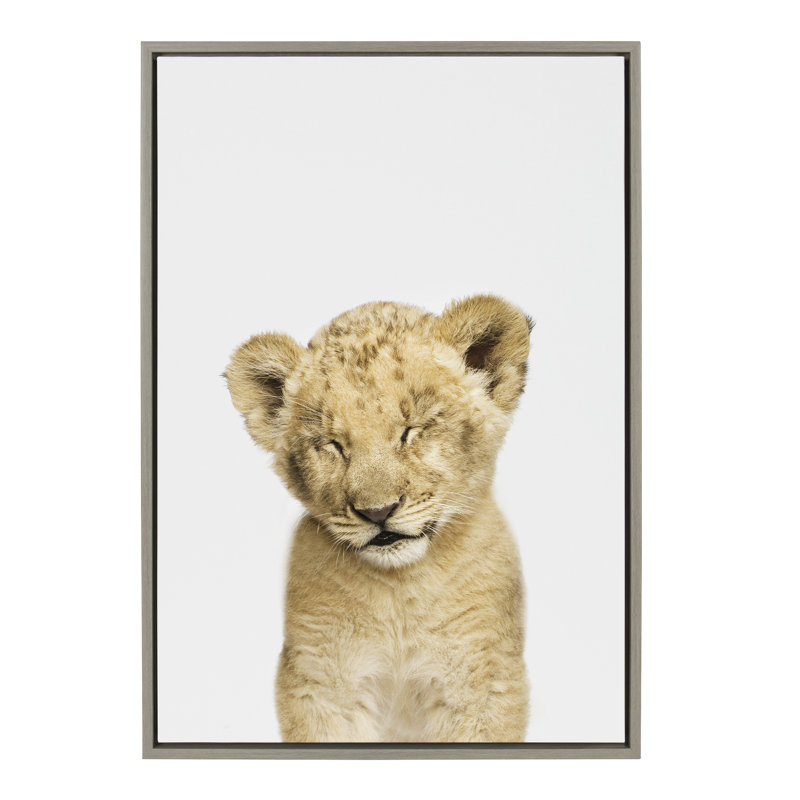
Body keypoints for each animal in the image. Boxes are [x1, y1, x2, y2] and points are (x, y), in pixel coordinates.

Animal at [225, 295, 532, 742]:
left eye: (412, 430)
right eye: (333, 445)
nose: (377, 511)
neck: (399, 590)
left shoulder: (482, 681)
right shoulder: (319, 684)